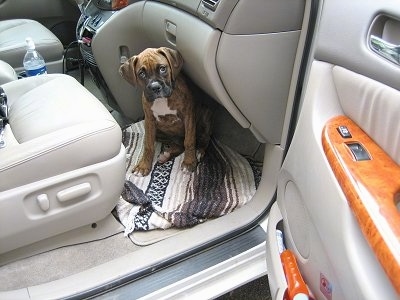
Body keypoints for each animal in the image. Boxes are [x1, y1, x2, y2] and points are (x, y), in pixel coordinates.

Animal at [119, 47, 212, 176]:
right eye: (141, 73)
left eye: (162, 68)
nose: (155, 87)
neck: (162, 99)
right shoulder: (149, 121)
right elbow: (148, 145)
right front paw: (143, 166)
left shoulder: (188, 116)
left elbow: (189, 141)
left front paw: (189, 162)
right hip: (159, 132)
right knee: (179, 144)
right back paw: (166, 155)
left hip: (205, 115)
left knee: (204, 138)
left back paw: (198, 151)